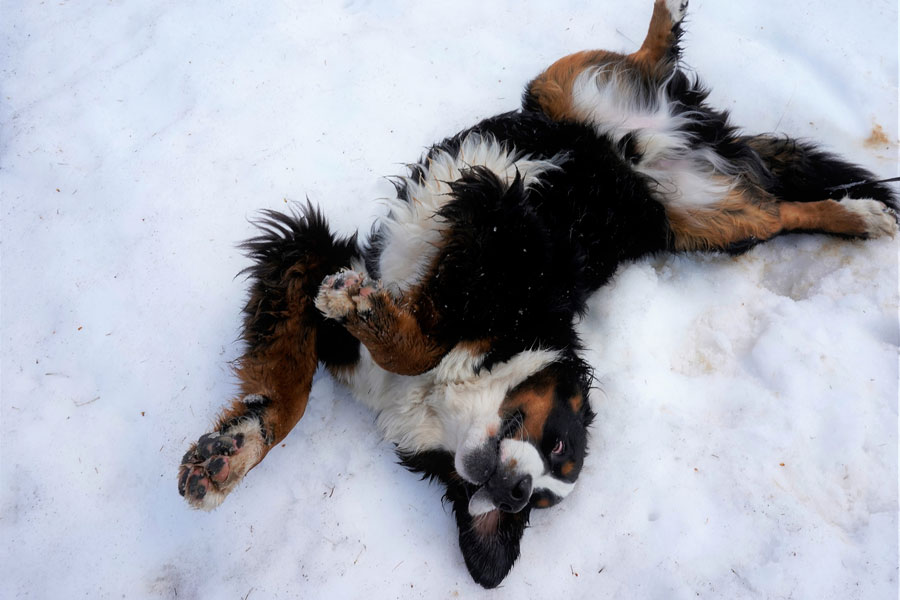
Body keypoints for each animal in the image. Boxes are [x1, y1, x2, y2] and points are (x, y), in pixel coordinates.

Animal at [179, 0, 896, 588]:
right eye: (558, 445)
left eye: (545, 495)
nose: (518, 490)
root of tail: (668, 144)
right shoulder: (422, 242)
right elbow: (292, 382)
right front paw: (230, 455)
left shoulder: (507, 235)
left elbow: (411, 338)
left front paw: (366, 317)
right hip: (561, 89)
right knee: (645, 61)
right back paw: (667, 19)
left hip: (703, 227)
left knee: (781, 214)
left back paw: (861, 217)